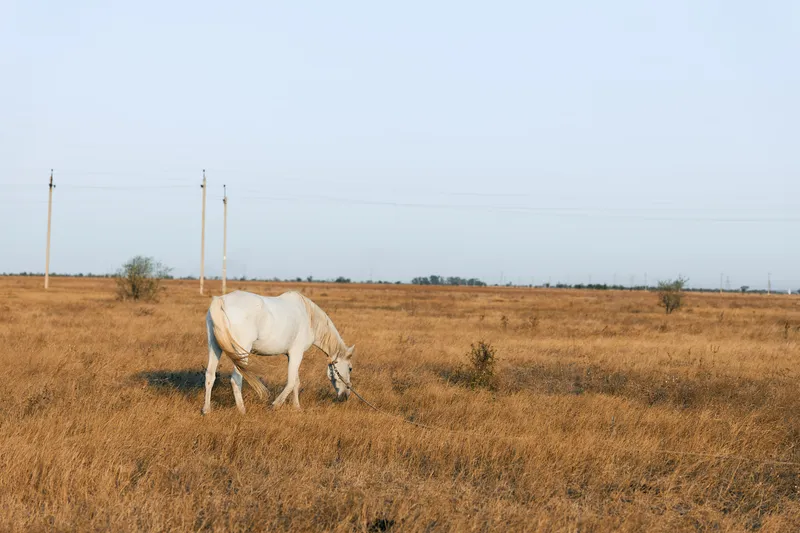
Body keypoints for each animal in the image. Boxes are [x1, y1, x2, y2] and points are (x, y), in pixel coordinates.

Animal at [202, 290, 355, 414]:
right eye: (350, 368)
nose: (345, 396)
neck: (309, 317)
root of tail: (221, 301)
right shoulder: (296, 353)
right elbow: (291, 382)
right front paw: (275, 405)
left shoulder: (290, 356)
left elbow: (296, 382)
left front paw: (297, 407)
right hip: (240, 353)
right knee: (235, 379)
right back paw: (242, 410)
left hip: (214, 348)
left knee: (210, 376)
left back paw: (206, 410)